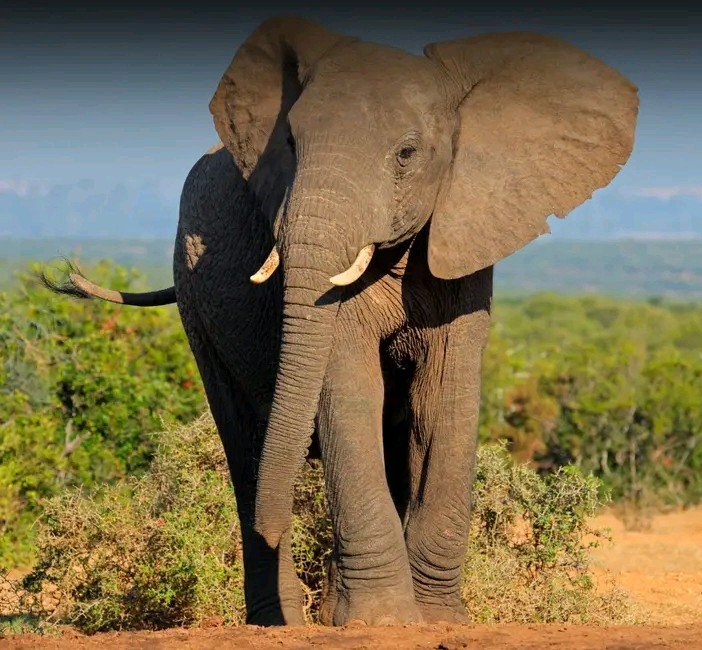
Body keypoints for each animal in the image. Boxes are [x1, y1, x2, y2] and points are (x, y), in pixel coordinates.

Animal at [47, 16, 638, 626]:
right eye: (289, 143)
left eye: (407, 153)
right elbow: (350, 389)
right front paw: (383, 621)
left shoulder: (464, 239)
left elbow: (442, 398)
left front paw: (436, 620)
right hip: (195, 299)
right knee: (244, 443)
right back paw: (279, 618)